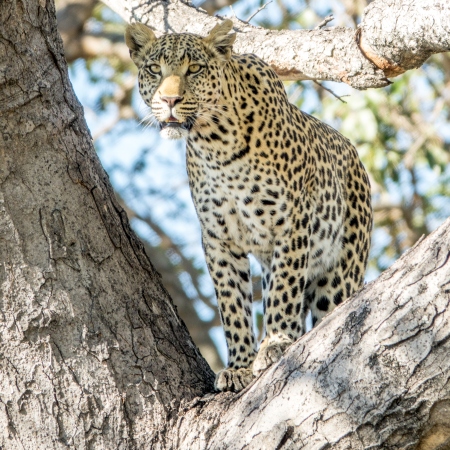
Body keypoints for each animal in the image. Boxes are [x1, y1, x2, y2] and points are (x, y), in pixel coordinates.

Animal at [124, 19, 372, 392]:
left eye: (194, 69)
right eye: (155, 69)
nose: (169, 100)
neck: (216, 145)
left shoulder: (290, 224)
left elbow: (285, 290)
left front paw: (276, 344)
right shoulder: (218, 238)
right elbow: (232, 303)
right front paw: (239, 366)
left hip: (339, 271)